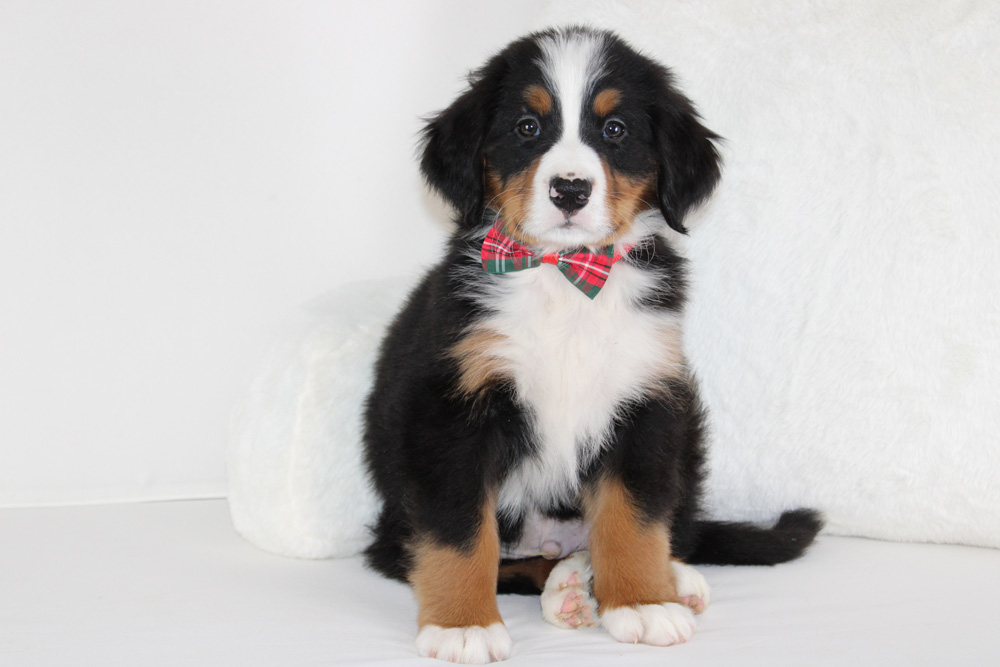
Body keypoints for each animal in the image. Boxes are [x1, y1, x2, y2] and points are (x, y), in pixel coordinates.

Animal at [362, 26, 821, 663]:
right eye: (527, 126)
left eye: (616, 130)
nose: (571, 190)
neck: (563, 277)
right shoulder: (449, 411)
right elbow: (460, 532)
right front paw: (462, 624)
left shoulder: (646, 402)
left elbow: (634, 518)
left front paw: (643, 604)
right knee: (493, 559)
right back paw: (569, 589)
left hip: (688, 431)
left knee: (666, 529)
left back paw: (648, 581)